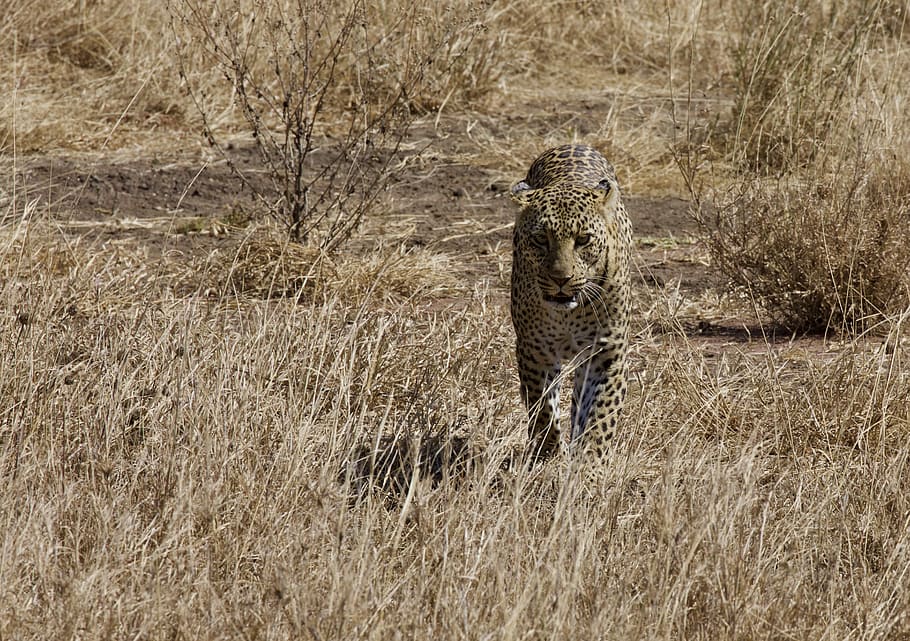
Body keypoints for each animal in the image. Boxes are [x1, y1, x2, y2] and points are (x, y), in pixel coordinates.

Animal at [509, 144, 632, 463]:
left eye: (584, 239)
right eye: (541, 239)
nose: (561, 278)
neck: (568, 316)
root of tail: (572, 144)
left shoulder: (606, 353)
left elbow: (600, 416)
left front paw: (589, 465)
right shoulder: (534, 350)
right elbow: (543, 411)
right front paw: (549, 455)